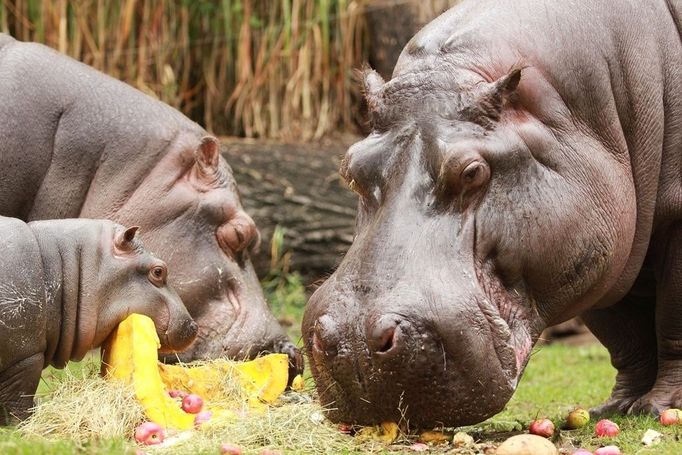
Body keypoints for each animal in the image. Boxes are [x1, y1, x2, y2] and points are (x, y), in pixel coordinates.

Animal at [0, 216, 197, 424]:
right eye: (158, 271)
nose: (194, 325)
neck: (56, 263)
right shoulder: (25, 358)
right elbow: (19, 403)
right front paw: (24, 424)